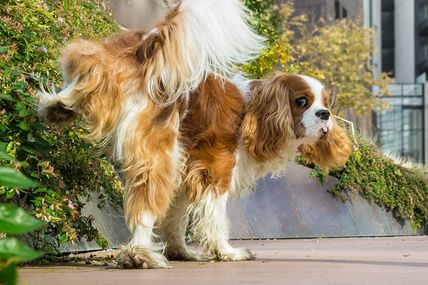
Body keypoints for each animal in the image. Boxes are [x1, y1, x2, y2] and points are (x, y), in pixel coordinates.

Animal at [36, 0, 352, 268]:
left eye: (325, 102)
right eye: (302, 102)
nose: (324, 115)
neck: (254, 112)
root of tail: (149, 48)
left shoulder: (187, 174)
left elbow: (176, 218)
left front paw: (180, 251)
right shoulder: (216, 170)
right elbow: (215, 217)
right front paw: (226, 252)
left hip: (111, 75)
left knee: (88, 70)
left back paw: (57, 106)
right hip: (160, 155)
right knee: (145, 208)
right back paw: (140, 255)